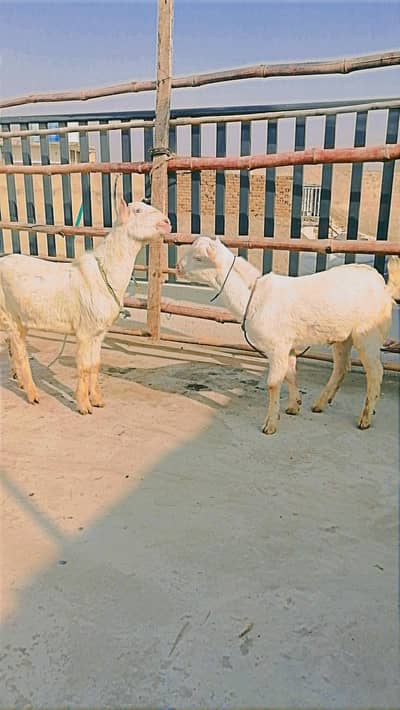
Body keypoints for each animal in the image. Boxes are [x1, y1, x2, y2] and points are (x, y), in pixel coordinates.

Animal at [0, 200, 171, 414]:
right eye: (138, 210)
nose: (167, 222)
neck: (105, 273)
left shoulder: (99, 332)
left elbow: (95, 364)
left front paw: (97, 399)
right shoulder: (84, 331)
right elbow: (84, 367)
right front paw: (83, 405)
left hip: (20, 318)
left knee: (14, 347)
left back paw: (22, 383)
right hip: (9, 314)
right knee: (21, 353)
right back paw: (32, 394)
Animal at [177, 236, 400, 434]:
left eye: (198, 258)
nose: (178, 267)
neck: (253, 297)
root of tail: (384, 288)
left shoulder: (277, 347)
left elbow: (273, 383)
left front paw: (270, 425)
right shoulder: (288, 346)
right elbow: (290, 374)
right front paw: (294, 406)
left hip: (367, 335)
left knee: (375, 372)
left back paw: (365, 418)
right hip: (343, 336)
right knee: (342, 367)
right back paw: (320, 404)